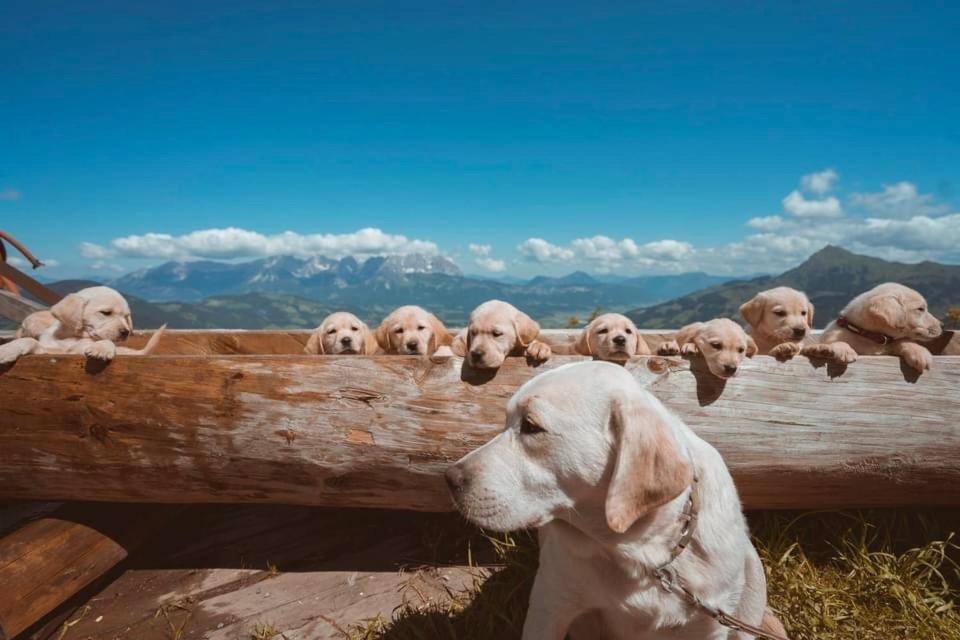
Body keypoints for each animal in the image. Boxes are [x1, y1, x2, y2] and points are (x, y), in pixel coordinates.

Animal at [0, 288, 166, 368]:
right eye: (106, 313)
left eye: (126, 316)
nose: (126, 332)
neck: (72, 337)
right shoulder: (49, 350)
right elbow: (29, 341)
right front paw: (7, 349)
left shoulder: (78, 351)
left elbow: (106, 341)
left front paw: (102, 348)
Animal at [446, 362, 784, 636]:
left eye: (531, 426)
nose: (450, 478)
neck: (640, 554)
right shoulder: (550, 603)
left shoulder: (709, 624)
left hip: (752, 578)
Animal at [804, 284, 944, 372]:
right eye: (920, 309)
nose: (943, 325)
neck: (869, 336)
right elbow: (838, 341)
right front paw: (845, 351)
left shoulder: (889, 346)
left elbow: (902, 341)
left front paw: (920, 352)